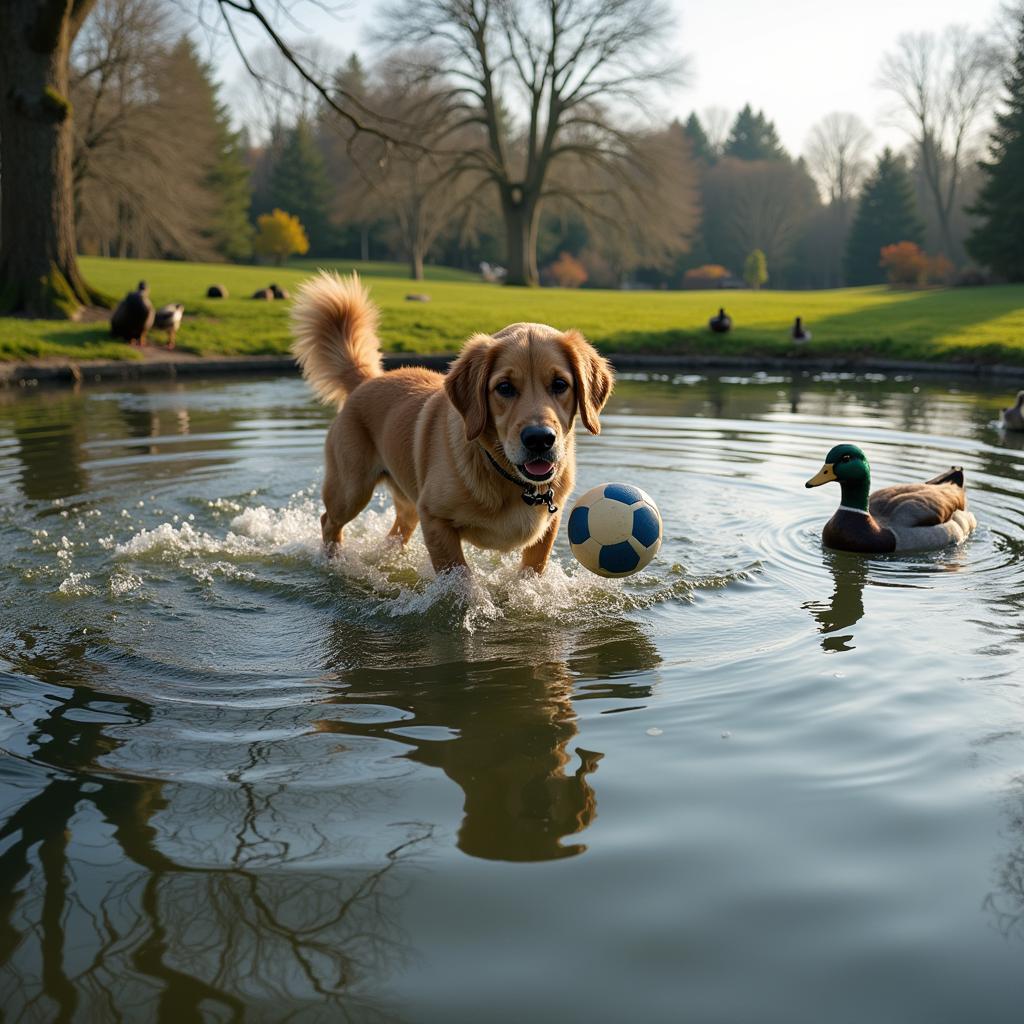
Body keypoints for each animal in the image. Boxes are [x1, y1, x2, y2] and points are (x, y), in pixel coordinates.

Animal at [288, 272, 610, 577]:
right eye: (504, 388)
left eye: (560, 384)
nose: (540, 439)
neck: (505, 476)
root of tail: (366, 380)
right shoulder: (435, 517)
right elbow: (460, 576)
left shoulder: (548, 527)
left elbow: (533, 569)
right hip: (350, 489)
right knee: (329, 521)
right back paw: (334, 562)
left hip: (405, 498)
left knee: (397, 530)